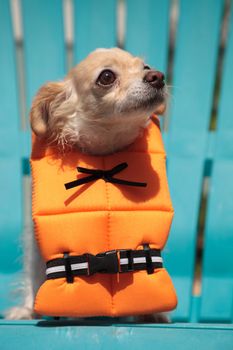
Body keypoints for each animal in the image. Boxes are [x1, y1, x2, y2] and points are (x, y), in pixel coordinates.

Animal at [5, 47, 166, 322]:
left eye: (145, 67)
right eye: (106, 76)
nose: (158, 76)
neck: (104, 153)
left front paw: (152, 314)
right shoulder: (37, 245)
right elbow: (36, 276)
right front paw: (32, 309)